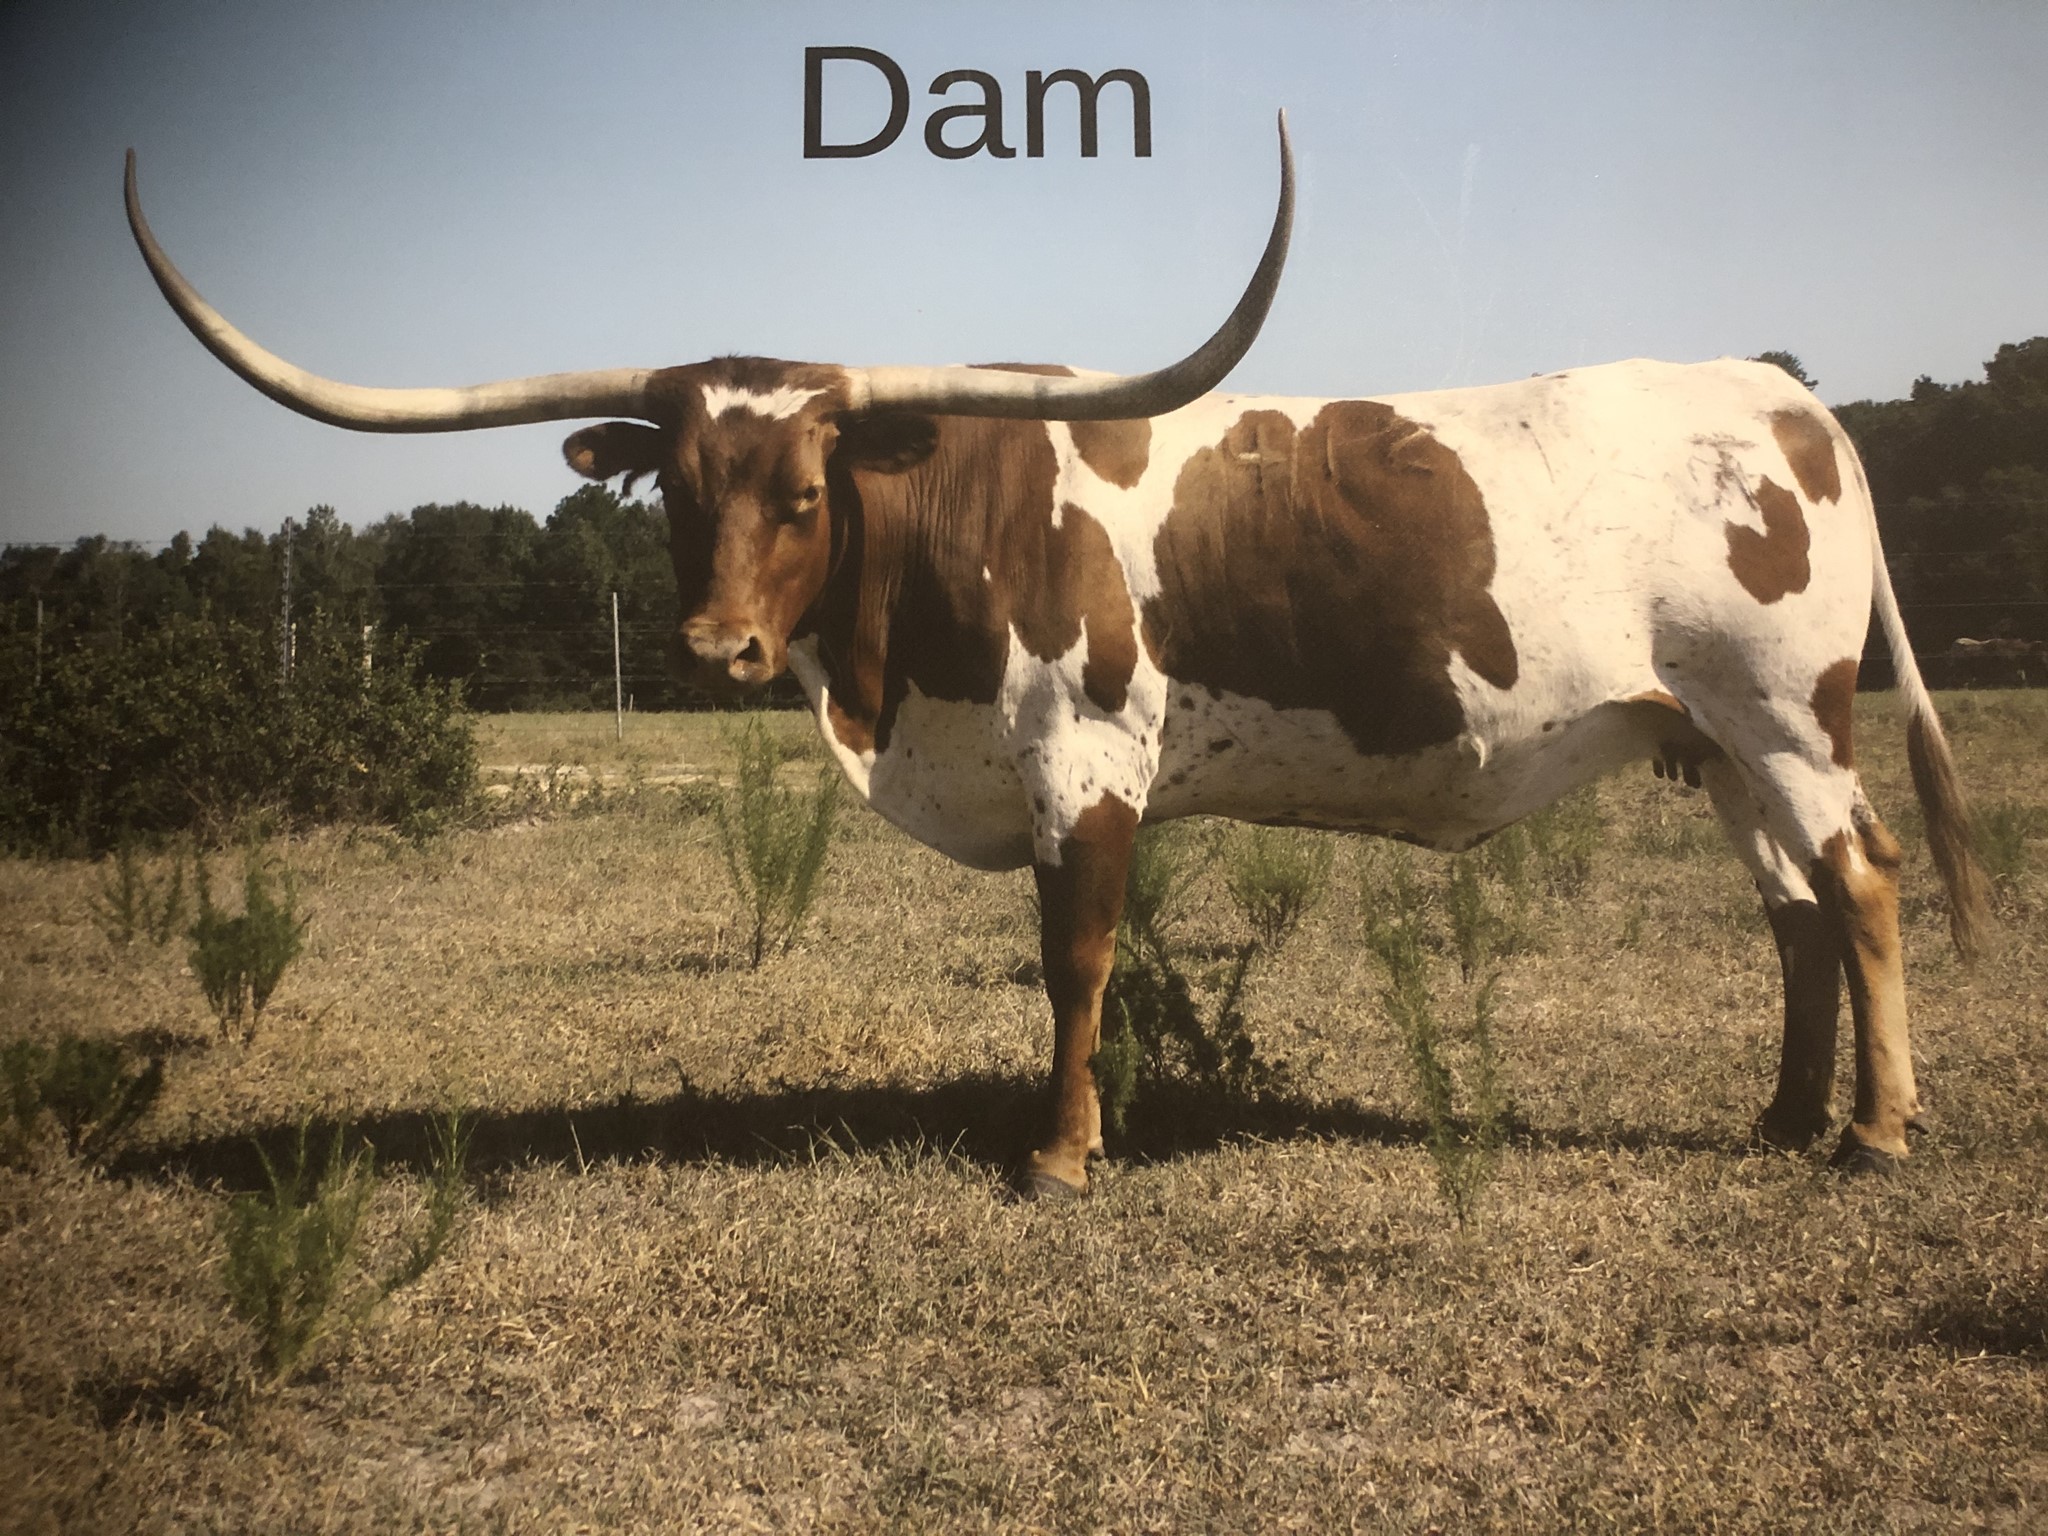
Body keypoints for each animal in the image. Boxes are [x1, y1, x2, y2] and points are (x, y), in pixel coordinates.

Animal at [126, 124, 1988, 1198]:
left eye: (805, 489)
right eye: (678, 492)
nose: (719, 641)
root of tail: (1779, 392)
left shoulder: (1084, 762)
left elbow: (1073, 960)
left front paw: (1064, 1156)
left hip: (1784, 719)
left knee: (1865, 885)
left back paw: (1877, 1135)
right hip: (1711, 739)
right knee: (1794, 916)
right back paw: (1783, 1121)